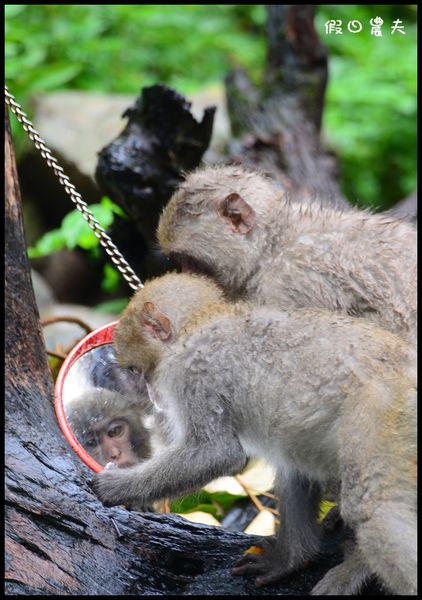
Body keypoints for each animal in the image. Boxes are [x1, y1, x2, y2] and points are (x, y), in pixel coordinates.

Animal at [92, 274, 416, 596]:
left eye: (137, 371)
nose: (152, 396)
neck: (199, 322)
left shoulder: (189, 375)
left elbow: (217, 453)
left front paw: (116, 487)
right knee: (294, 458)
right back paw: (296, 558)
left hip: (382, 411)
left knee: (372, 505)